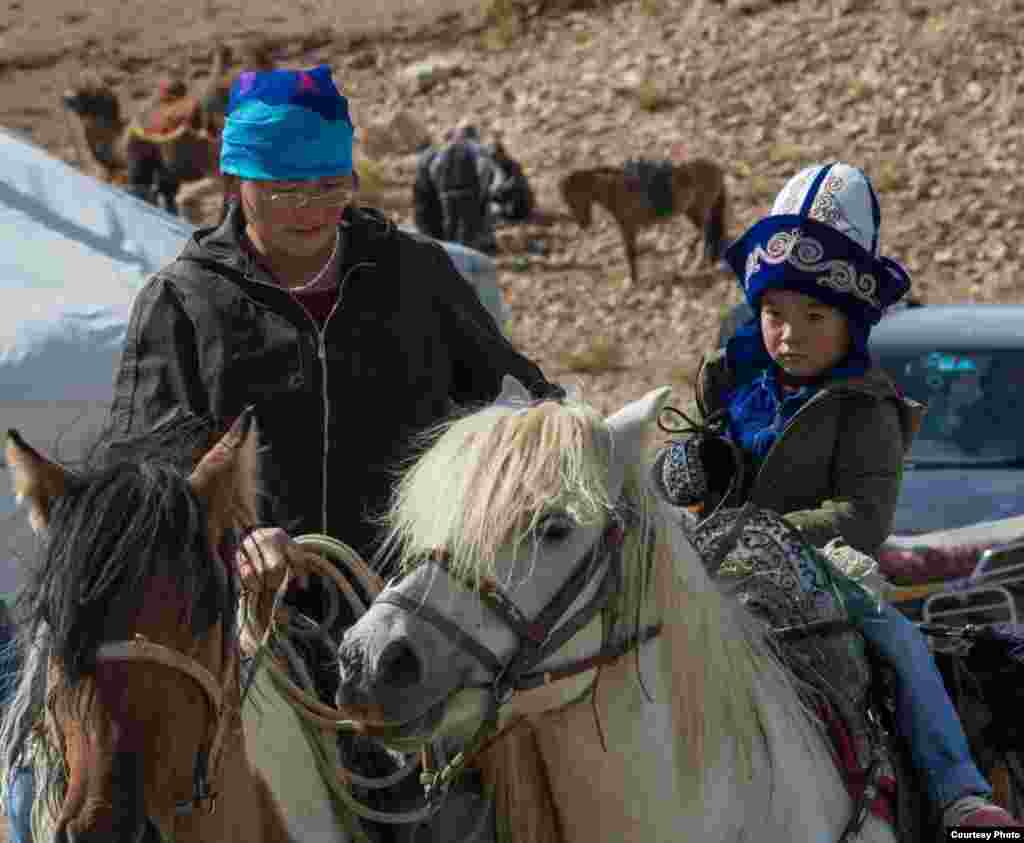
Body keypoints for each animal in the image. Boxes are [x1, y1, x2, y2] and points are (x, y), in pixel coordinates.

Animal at [561, 159, 729, 284]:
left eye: (572, 200)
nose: (583, 223)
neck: (615, 190)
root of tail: (717, 170)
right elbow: (631, 252)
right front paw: (633, 279)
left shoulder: (628, 227)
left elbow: (630, 253)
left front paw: (632, 280)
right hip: (693, 211)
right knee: (706, 233)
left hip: (698, 211)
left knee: (705, 233)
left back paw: (694, 262)